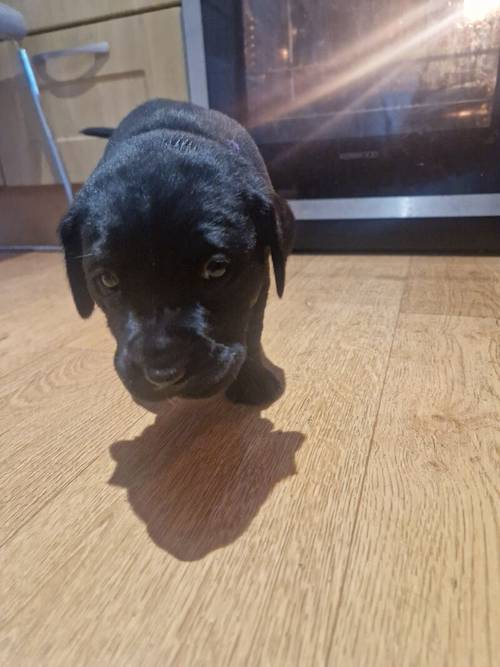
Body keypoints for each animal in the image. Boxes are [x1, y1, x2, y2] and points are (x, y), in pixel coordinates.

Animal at [59, 98, 292, 408]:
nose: (163, 375)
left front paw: (254, 380)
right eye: (107, 280)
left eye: (217, 269)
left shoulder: (261, 279)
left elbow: (253, 329)